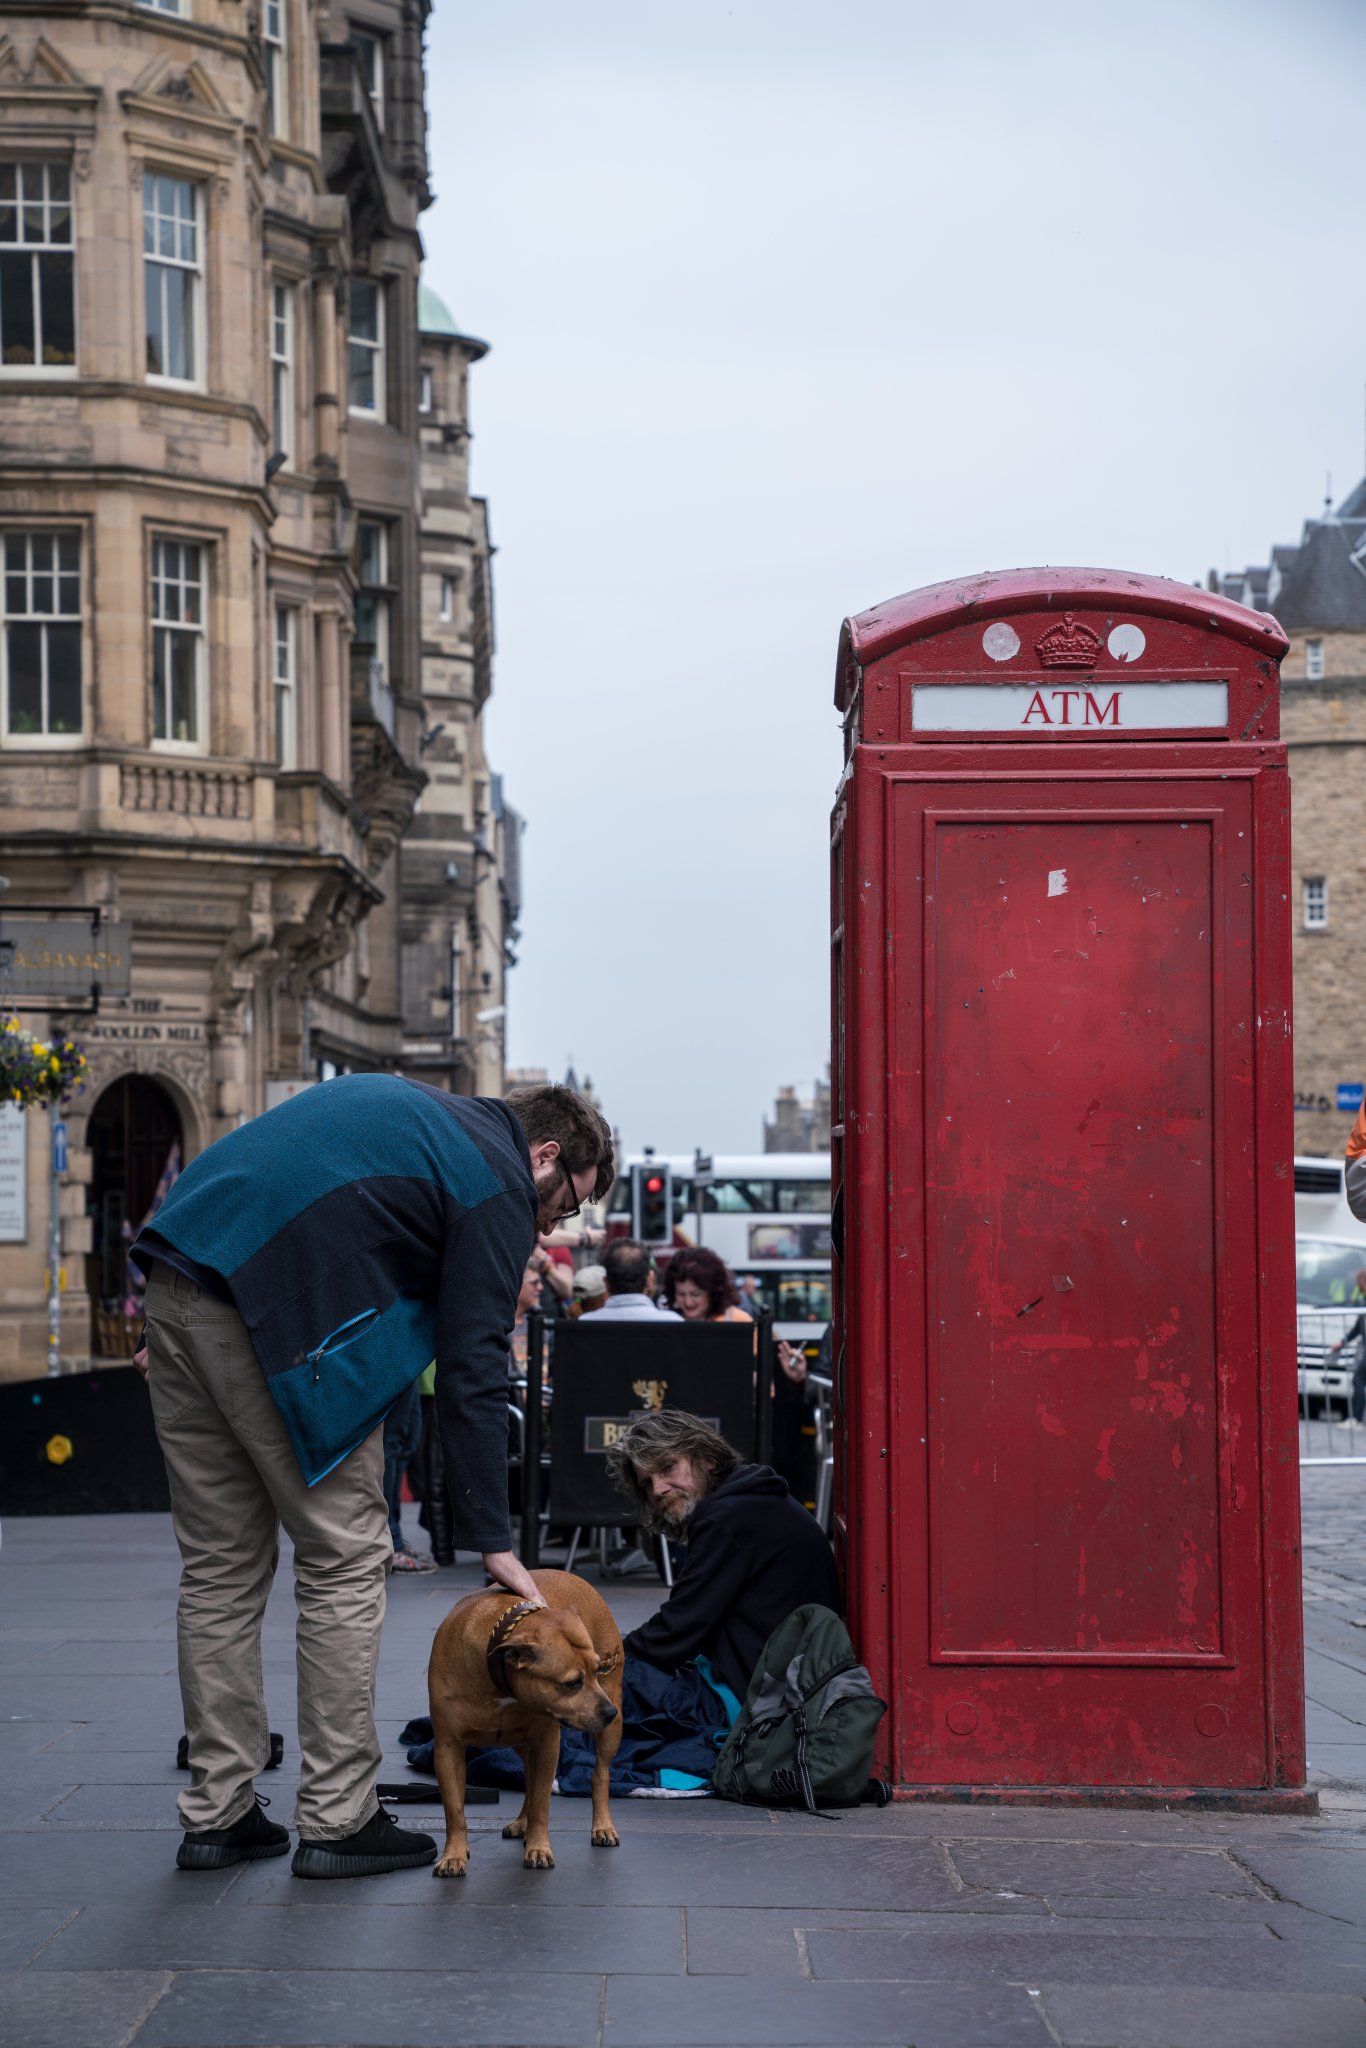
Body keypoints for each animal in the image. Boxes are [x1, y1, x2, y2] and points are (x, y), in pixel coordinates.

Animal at [428, 1564, 626, 1875]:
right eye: (573, 1683)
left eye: (597, 1671)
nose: (609, 1712)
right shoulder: (447, 1748)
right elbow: (454, 1810)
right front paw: (454, 1855)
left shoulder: (547, 1743)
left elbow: (542, 1804)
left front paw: (539, 1848)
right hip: (521, 1743)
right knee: (530, 1780)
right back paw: (522, 1823)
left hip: (607, 1730)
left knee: (600, 1774)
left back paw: (602, 1826)